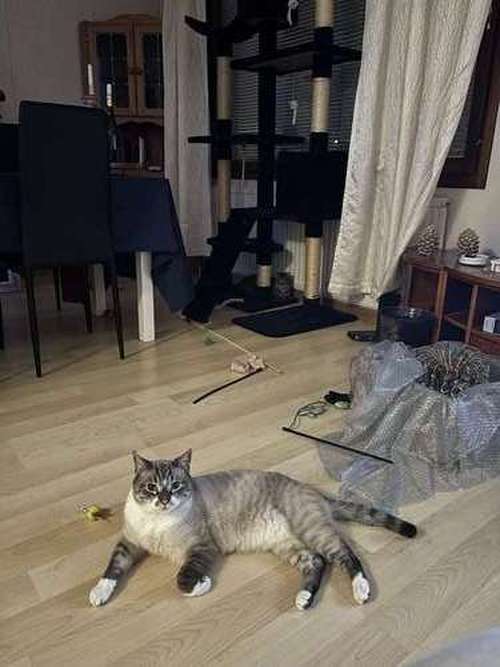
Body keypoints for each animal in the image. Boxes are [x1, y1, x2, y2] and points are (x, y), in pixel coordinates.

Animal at [89, 449, 416, 610]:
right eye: (152, 487)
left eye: (177, 486)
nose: (164, 499)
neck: (158, 523)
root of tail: (315, 492)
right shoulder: (130, 544)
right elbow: (112, 570)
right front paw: (98, 595)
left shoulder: (201, 548)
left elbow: (183, 581)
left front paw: (202, 584)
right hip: (287, 545)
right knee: (317, 562)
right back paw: (303, 600)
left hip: (312, 531)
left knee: (347, 555)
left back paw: (361, 591)